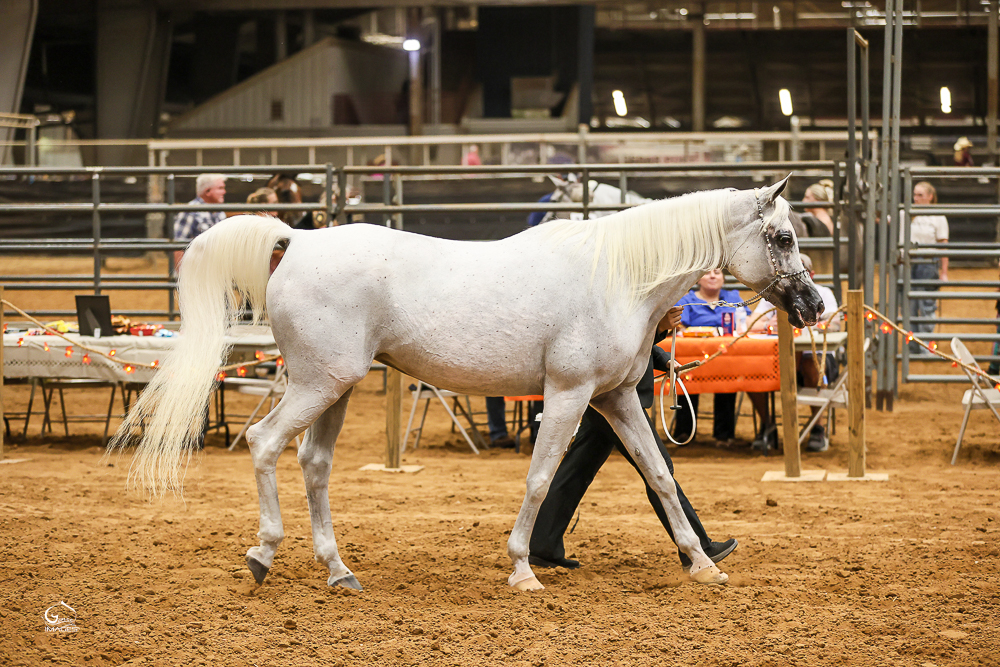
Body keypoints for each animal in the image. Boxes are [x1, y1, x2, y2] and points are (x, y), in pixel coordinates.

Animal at [110, 177, 823, 593]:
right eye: (784, 236)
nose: (815, 305)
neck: (618, 277)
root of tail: (297, 241)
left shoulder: (616, 397)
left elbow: (659, 476)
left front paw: (703, 563)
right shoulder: (567, 395)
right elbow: (540, 477)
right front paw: (522, 570)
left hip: (336, 387)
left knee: (314, 464)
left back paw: (339, 571)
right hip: (317, 384)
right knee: (263, 442)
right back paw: (262, 556)